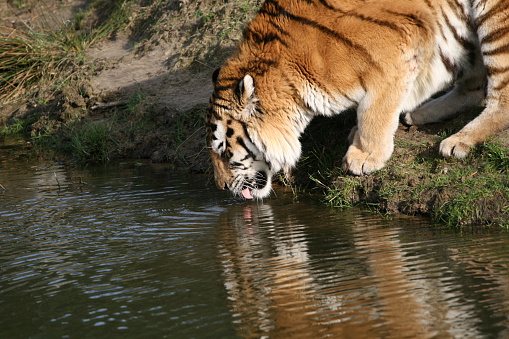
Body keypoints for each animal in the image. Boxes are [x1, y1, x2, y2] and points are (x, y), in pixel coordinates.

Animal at [204, 0, 506, 201]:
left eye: (224, 151)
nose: (220, 187)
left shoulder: (394, 48)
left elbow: (375, 111)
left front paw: (366, 156)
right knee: (475, 85)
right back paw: (421, 113)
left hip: (496, 20)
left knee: (502, 99)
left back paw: (458, 141)